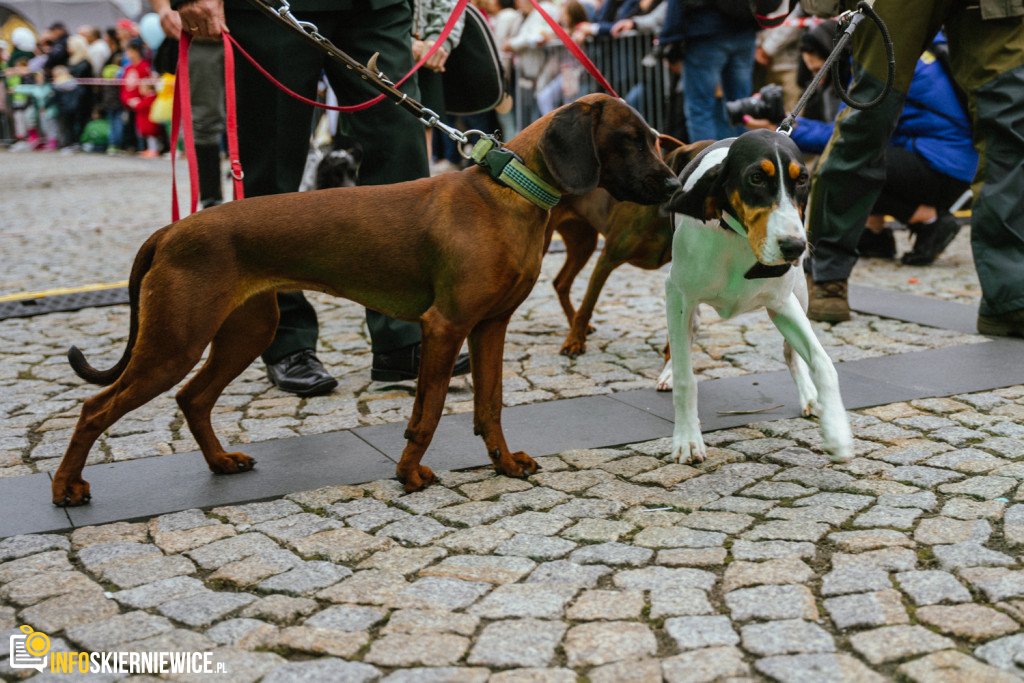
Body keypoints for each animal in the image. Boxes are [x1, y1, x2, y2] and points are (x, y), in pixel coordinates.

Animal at [51, 93, 675, 505]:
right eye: (629, 138)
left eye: (655, 141)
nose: (672, 185)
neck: (509, 191)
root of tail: (169, 231)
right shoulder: (445, 326)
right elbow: (427, 414)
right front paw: (409, 474)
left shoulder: (489, 327)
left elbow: (489, 406)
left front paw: (504, 464)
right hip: (173, 345)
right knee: (95, 408)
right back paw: (65, 487)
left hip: (242, 334)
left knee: (193, 399)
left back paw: (221, 462)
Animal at [659, 129, 851, 464]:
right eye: (756, 178)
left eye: (802, 180)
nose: (795, 247)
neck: (737, 236)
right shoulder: (678, 294)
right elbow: (686, 376)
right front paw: (687, 438)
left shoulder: (784, 304)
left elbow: (824, 362)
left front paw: (837, 430)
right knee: (684, 338)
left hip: (799, 297)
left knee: (791, 353)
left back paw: (810, 396)